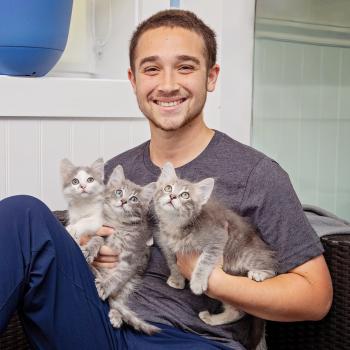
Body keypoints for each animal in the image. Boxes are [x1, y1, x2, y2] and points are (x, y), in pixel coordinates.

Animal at [95, 165, 160, 334]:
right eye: (119, 192)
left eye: (134, 199)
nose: (123, 201)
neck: (118, 226)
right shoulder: (102, 230)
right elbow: (96, 239)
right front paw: (89, 249)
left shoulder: (132, 257)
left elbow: (117, 276)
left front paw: (105, 286)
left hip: (130, 283)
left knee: (118, 298)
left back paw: (117, 315)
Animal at [152, 163, 276, 348]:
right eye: (168, 188)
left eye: (185, 195)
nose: (172, 196)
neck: (175, 226)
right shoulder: (165, 242)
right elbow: (172, 261)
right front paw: (177, 279)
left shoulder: (217, 238)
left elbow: (204, 261)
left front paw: (196, 282)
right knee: (238, 311)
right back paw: (212, 319)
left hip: (246, 254)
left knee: (274, 269)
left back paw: (260, 273)